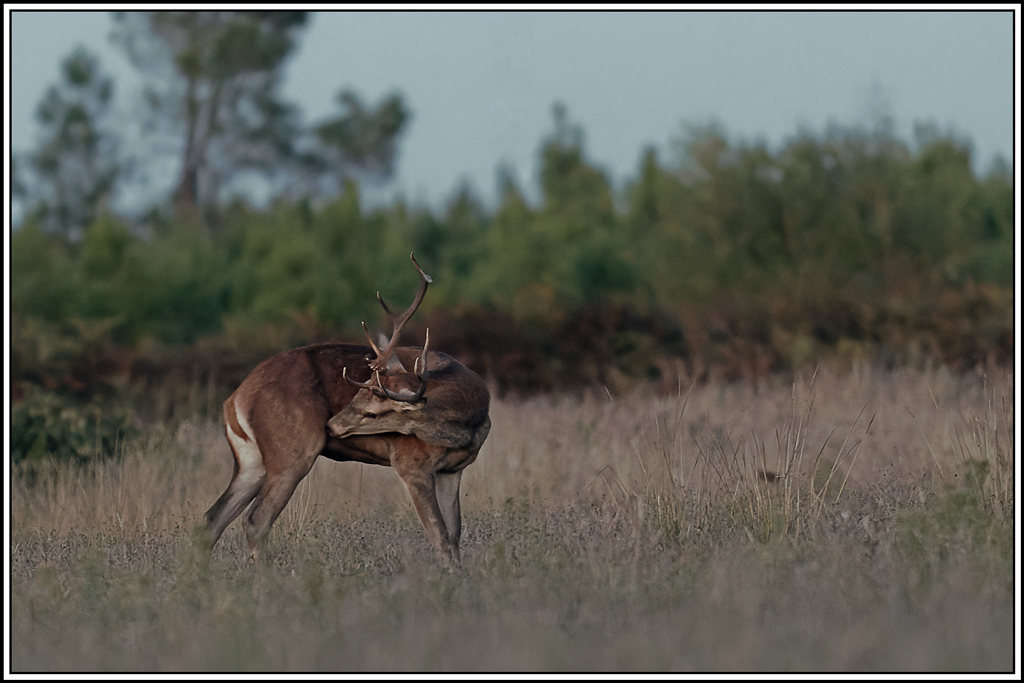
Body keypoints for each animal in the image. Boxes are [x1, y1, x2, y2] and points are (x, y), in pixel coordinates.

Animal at [201, 253, 490, 565]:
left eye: (371, 411)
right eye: (356, 396)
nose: (331, 426)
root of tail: (235, 399)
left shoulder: (453, 470)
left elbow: (454, 534)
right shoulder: (411, 465)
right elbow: (440, 536)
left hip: (250, 460)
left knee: (212, 519)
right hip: (292, 453)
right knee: (256, 519)